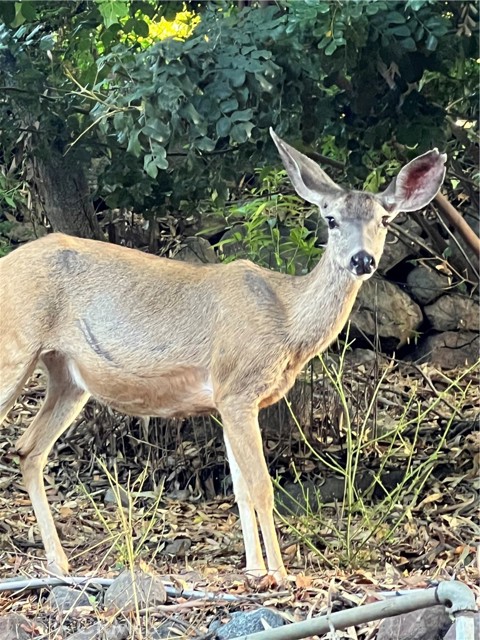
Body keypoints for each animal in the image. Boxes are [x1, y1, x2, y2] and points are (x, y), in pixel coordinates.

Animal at [0, 129, 446, 580]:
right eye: (331, 219)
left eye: (385, 220)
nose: (362, 260)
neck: (286, 321)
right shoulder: (237, 388)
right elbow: (261, 487)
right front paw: (280, 574)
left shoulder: (225, 400)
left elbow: (241, 490)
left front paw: (254, 569)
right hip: (15, 347)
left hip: (67, 375)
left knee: (28, 449)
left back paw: (59, 563)